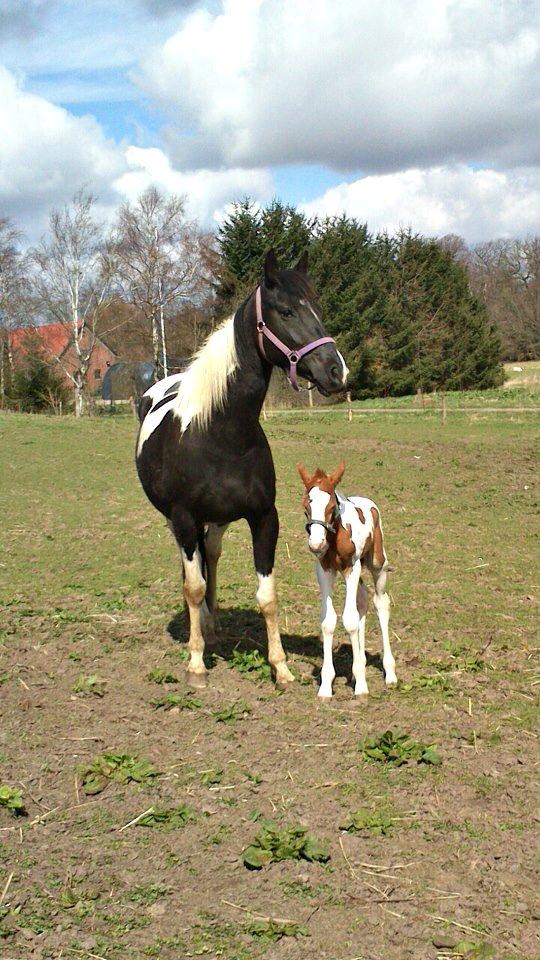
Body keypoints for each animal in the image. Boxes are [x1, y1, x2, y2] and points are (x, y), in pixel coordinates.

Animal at [134, 248, 346, 684]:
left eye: (316, 308)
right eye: (285, 311)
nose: (337, 371)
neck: (220, 432)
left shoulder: (263, 517)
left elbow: (267, 595)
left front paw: (280, 667)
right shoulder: (183, 517)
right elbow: (193, 587)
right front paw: (196, 662)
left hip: (217, 520)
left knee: (210, 556)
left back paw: (213, 627)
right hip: (180, 522)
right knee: (192, 571)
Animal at [300, 462, 396, 700]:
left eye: (331, 505)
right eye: (306, 504)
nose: (316, 543)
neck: (336, 536)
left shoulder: (351, 567)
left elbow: (350, 620)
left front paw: (361, 686)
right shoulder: (324, 570)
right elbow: (328, 621)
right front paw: (326, 686)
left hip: (376, 563)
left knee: (381, 603)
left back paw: (390, 674)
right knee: (362, 600)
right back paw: (358, 664)